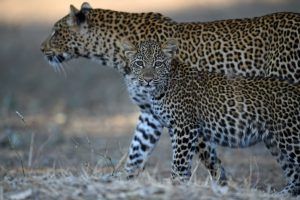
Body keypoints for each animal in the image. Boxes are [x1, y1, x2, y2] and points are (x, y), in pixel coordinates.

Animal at [40, 2, 300, 186]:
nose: (41, 49)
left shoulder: (190, 117)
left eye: (55, 32)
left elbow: (204, 159)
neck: (114, 53)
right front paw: (124, 182)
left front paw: (219, 186)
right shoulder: (150, 114)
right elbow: (136, 152)